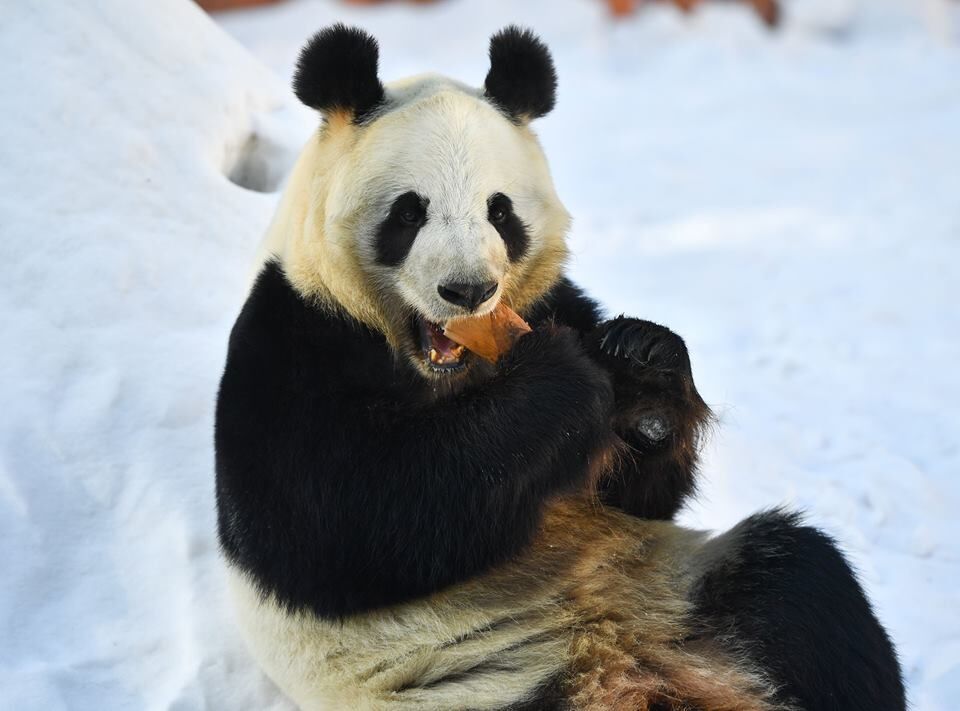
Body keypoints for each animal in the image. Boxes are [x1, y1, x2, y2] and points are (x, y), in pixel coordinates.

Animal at [214, 23, 904, 711]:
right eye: (409, 213)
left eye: (500, 211)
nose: (469, 291)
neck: (451, 373)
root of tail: (631, 672)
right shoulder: (293, 336)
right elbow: (338, 519)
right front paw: (560, 382)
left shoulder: (556, 301)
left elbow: (641, 497)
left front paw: (645, 361)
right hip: (482, 683)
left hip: (689, 591)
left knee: (803, 590)